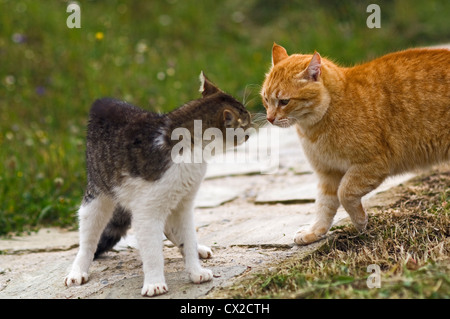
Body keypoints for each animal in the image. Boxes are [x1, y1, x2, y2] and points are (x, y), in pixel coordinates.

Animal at [64, 72, 251, 298]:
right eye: (245, 121)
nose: (252, 127)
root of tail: (101, 103)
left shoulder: (183, 204)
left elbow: (187, 237)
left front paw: (195, 270)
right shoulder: (147, 211)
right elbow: (153, 252)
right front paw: (154, 282)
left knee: (172, 230)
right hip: (97, 198)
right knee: (88, 241)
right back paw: (78, 270)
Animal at [262, 43, 448, 246]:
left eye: (284, 101)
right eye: (266, 99)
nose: (269, 118)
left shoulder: (372, 165)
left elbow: (345, 193)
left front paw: (360, 221)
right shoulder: (328, 173)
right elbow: (324, 206)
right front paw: (314, 231)